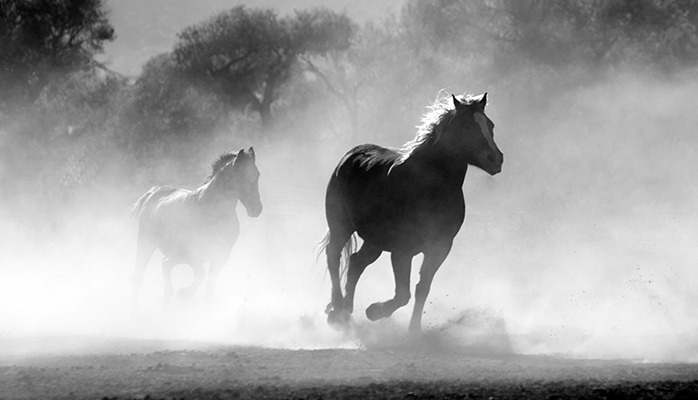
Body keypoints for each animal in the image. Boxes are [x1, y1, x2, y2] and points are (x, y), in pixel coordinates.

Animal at [130, 148, 260, 308]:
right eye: (241, 176)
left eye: (257, 174)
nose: (256, 209)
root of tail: (153, 192)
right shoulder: (194, 253)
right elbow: (200, 275)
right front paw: (184, 293)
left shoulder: (221, 255)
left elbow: (209, 287)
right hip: (146, 243)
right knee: (139, 275)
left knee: (165, 264)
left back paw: (165, 298)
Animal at [318, 94, 502, 334]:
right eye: (466, 127)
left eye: (490, 125)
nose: (495, 159)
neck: (429, 188)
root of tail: (350, 156)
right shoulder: (402, 250)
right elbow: (403, 294)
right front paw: (375, 311)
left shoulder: (440, 247)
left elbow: (422, 288)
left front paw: (414, 330)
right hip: (341, 226)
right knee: (334, 256)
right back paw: (337, 310)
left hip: (374, 241)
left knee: (356, 262)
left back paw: (347, 311)